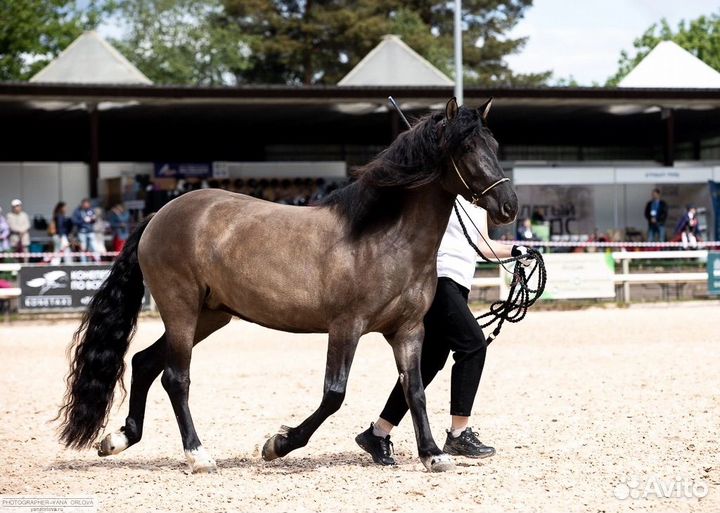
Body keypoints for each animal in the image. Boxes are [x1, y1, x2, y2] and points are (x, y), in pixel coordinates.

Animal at [56, 97, 518, 473]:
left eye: (494, 146)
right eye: (466, 148)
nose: (508, 207)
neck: (383, 237)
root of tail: (160, 214)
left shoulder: (408, 330)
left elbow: (415, 389)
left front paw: (433, 454)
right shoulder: (346, 326)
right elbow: (334, 394)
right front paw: (277, 444)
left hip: (209, 316)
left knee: (145, 362)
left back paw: (119, 439)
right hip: (181, 308)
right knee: (175, 377)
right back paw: (198, 454)